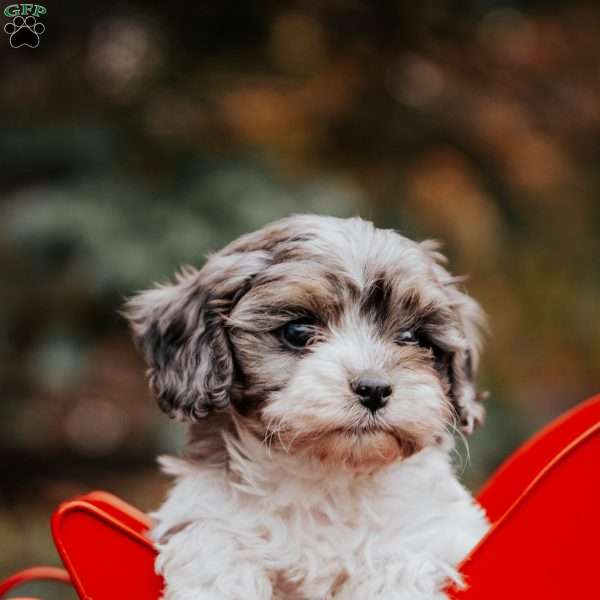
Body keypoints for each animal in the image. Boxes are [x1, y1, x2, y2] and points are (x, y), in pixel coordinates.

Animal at [124, 216, 490, 600]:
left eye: (412, 338)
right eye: (298, 331)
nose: (374, 388)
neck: (328, 477)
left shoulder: (437, 528)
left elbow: (399, 553)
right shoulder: (206, 506)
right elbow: (215, 538)